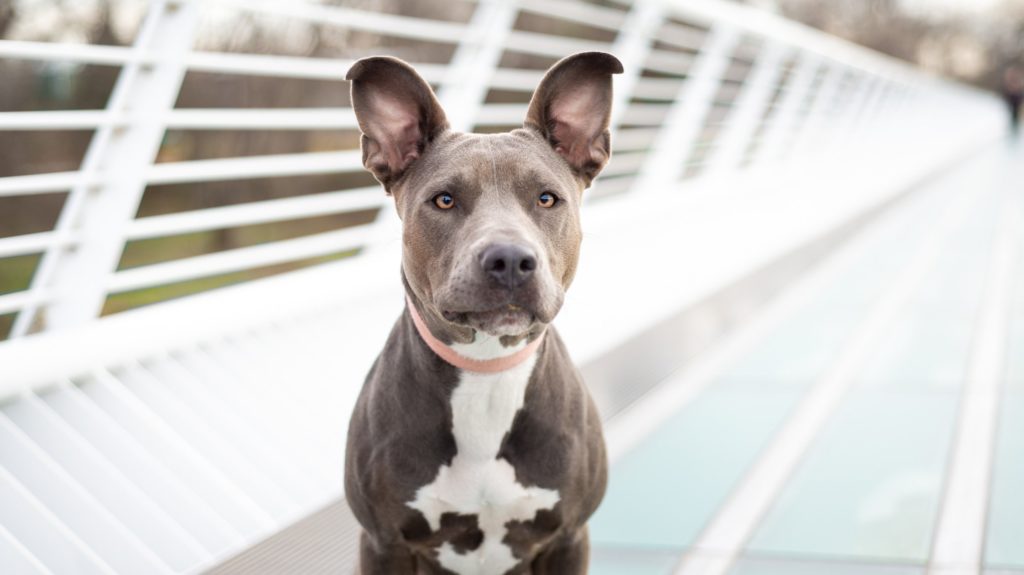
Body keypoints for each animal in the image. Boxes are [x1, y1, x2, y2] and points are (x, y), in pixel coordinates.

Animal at [344, 51, 618, 568]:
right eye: (444, 200)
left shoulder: (570, 536)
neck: (487, 371)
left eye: (546, 198)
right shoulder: (383, 542)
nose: (509, 259)